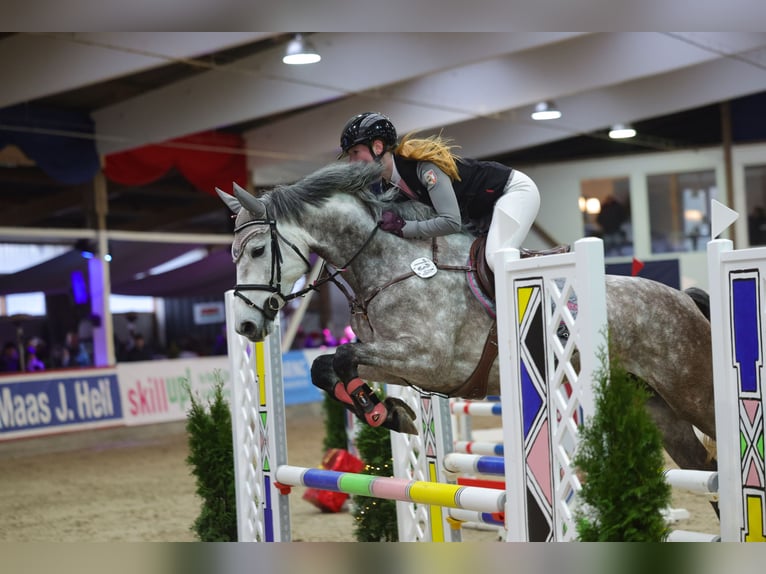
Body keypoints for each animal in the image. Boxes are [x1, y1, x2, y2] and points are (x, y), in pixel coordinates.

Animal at [218, 162, 720, 476]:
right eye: (233, 254)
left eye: (258, 250)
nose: (245, 326)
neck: (391, 263)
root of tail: (683, 298)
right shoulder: (397, 361)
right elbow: (328, 365)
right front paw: (388, 412)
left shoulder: (427, 359)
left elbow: (339, 358)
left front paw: (383, 411)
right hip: (659, 408)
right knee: (707, 470)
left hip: (693, 392)